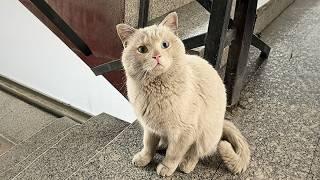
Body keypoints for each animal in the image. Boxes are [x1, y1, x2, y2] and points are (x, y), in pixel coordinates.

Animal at [115, 11, 250, 177]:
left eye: (165, 45)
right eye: (142, 49)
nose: (156, 56)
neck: (157, 91)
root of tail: (222, 123)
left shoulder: (183, 132)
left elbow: (173, 154)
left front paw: (166, 167)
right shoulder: (150, 128)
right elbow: (148, 146)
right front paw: (144, 158)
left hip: (205, 135)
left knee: (196, 152)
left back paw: (186, 164)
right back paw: (162, 145)